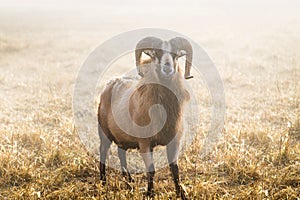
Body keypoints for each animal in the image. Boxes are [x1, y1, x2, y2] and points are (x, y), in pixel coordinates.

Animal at [97, 36, 193, 198]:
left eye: (175, 54)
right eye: (156, 53)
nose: (167, 68)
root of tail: (110, 83)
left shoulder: (174, 142)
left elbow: (175, 169)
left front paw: (181, 194)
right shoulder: (145, 144)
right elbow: (151, 169)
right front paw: (150, 193)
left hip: (123, 138)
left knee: (121, 153)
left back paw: (129, 181)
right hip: (105, 134)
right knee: (103, 152)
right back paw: (103, 182)